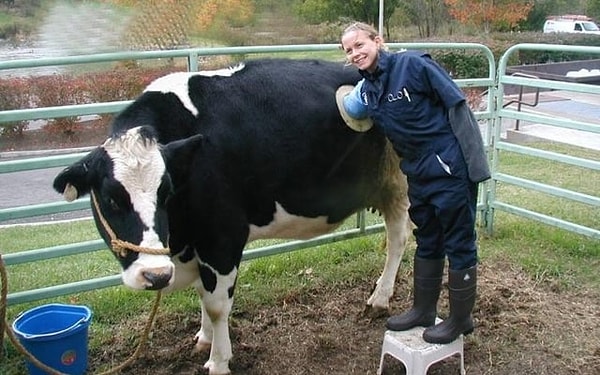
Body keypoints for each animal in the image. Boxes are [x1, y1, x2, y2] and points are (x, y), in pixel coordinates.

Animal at [54, 58, 412, 374]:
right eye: (111, 199)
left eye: (165, 191)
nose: (155, 275)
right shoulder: (199, 245)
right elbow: (202, 293)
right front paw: (203, 339)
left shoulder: (222, 237)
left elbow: (216, 305)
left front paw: (219, 361)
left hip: (403, 186)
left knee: (398, 240)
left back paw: (380, 299)